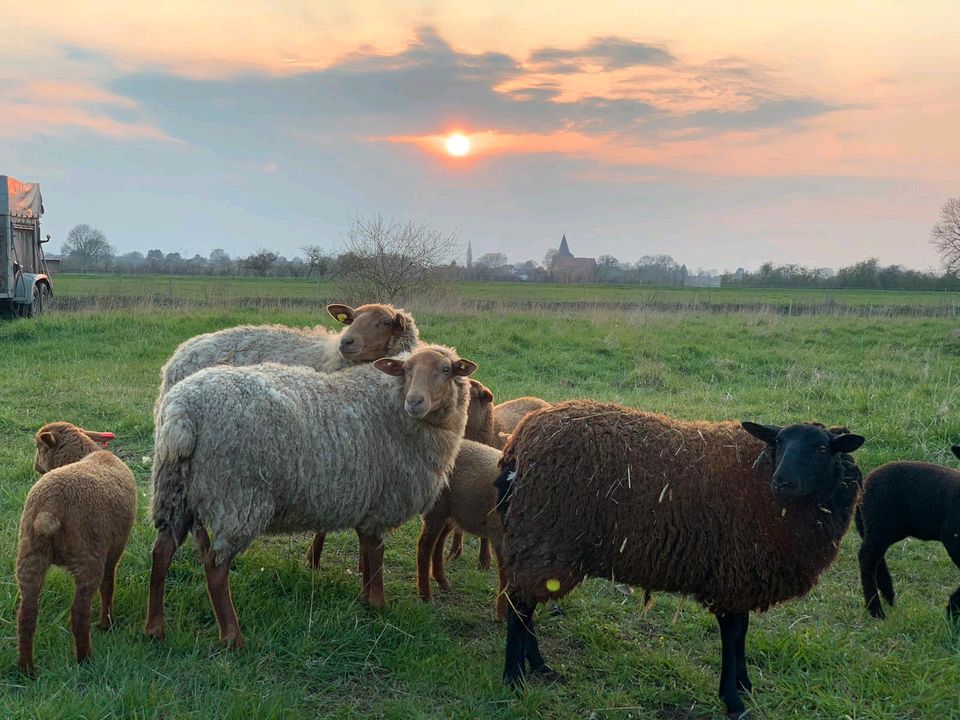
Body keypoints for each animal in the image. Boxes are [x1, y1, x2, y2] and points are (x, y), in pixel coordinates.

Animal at [15, 422, 136, 676]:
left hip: (30, 555)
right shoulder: (114, 549)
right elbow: (108, 585)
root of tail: (50, 509)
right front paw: (106, 623)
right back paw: (85, 660)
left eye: (38, 447)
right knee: (79, 613)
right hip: (88, 557)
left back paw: (27, 669)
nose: (35, 467)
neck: (87, 453)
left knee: (27, 614)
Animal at [145, 344, 476, 648]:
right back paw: (232, 636)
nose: (415, 402)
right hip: (237, 497)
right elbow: (377, 554)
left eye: (446, 370)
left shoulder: (367, 502)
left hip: (176, 490)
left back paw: (155, 628)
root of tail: (182, 413)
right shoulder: (384, 503)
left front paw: (366, 598)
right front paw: (379, 603)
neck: (391, 405)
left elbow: (367, 549)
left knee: (162, 551)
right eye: (406, 371)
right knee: (215, 566)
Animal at [498, 402, 868, 716]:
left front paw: (745, 685)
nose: (782, 482)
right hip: (542, 538)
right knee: (520, 607)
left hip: (538, 544)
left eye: (823, 449)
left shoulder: (743, 576)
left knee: (525, 606)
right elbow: (732, 635)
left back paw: (539, 666)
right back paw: (514, 679)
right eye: (778, 441)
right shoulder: (731, 574)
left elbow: (742, 632)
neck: (761, 479)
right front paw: (733, 701)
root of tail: (520, 440)